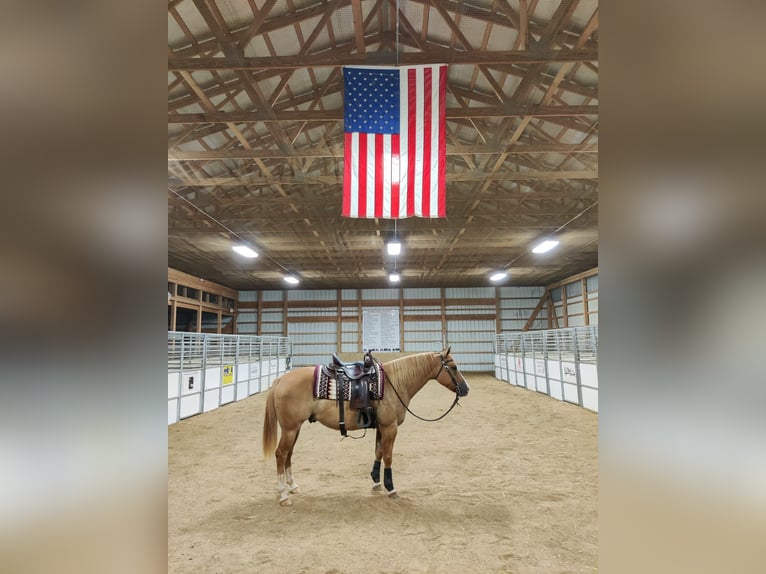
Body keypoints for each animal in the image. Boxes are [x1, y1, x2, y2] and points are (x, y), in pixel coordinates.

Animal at [262, 348, 468, 506]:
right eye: (454, 367)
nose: (466, 389)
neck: (395, 383)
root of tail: (280, 380)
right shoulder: (390, 427)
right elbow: (388, 456)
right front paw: (391, 488)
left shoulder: (382, 427)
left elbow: (379, 452)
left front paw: (376, 482)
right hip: (290, 429)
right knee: (281, 454)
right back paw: (283, 495)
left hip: (295, 428)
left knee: (289, 454)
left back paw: (293, 487)